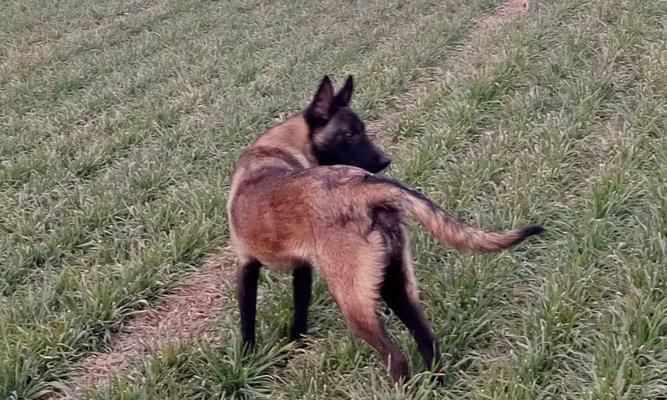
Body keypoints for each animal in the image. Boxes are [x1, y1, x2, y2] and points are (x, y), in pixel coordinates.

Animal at [227, 75, 544, 382]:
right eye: (350, 135)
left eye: (361, 131)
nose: (384, 160)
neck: (278, 147)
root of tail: (363, 188)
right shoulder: (302, 269)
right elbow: (299, 311)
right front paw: (294, 344)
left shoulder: (246, 264)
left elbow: (247, 320)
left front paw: (247, 361)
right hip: (395, 284)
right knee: (429, 342)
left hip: (353, 300)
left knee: (397, 359)